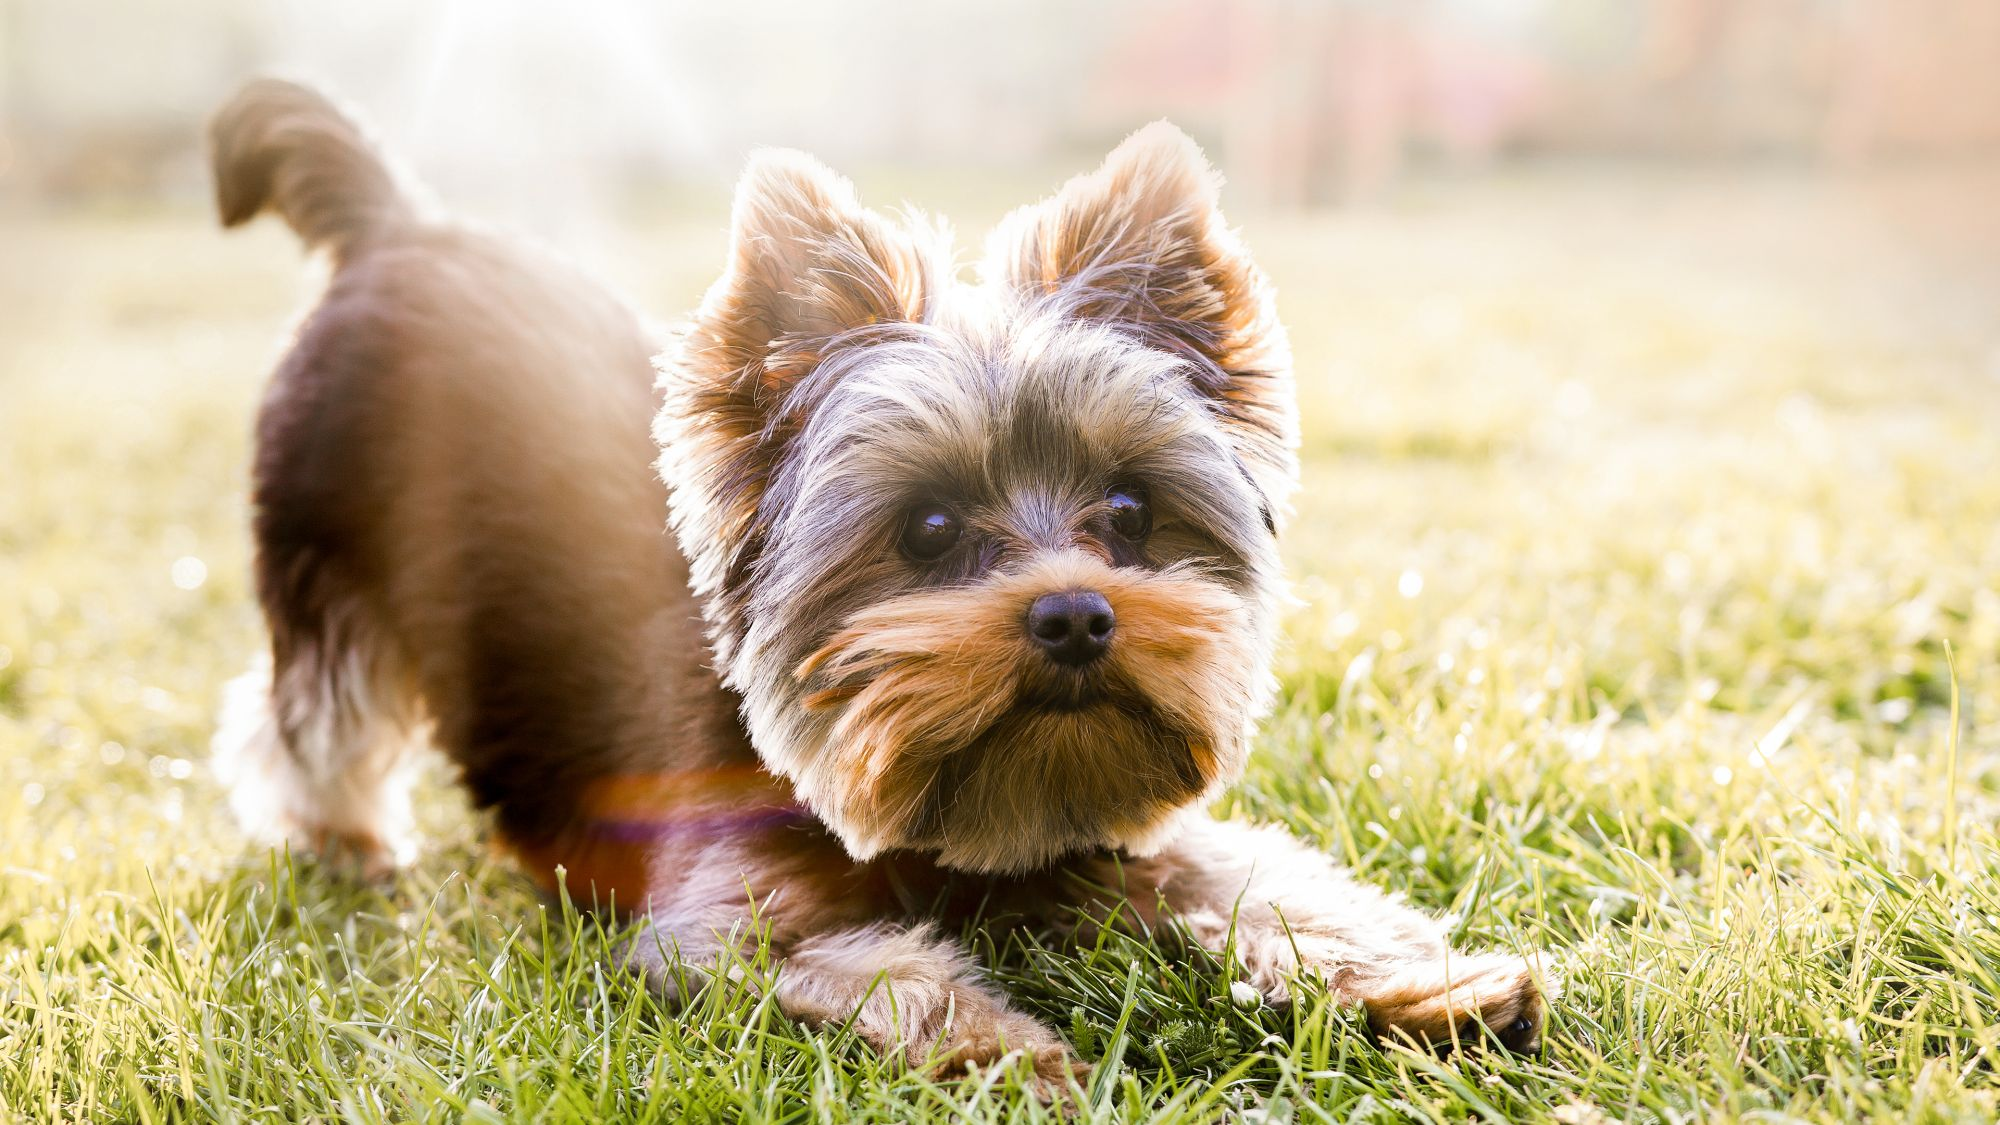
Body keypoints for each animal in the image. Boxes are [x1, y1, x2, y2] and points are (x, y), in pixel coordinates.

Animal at [207, 76, 1544, 1080]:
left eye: (1127, 513)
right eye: (928, 528)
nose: (1074, 614)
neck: (950, 824)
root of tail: (396, 225)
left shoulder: (1115, 834)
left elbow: (1272, 888)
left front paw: (1427, 986)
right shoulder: (717, 927)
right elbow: (881, 970)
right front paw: (1011, 1053)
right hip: (321, 554)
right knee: (308, 715)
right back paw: (343, 842)